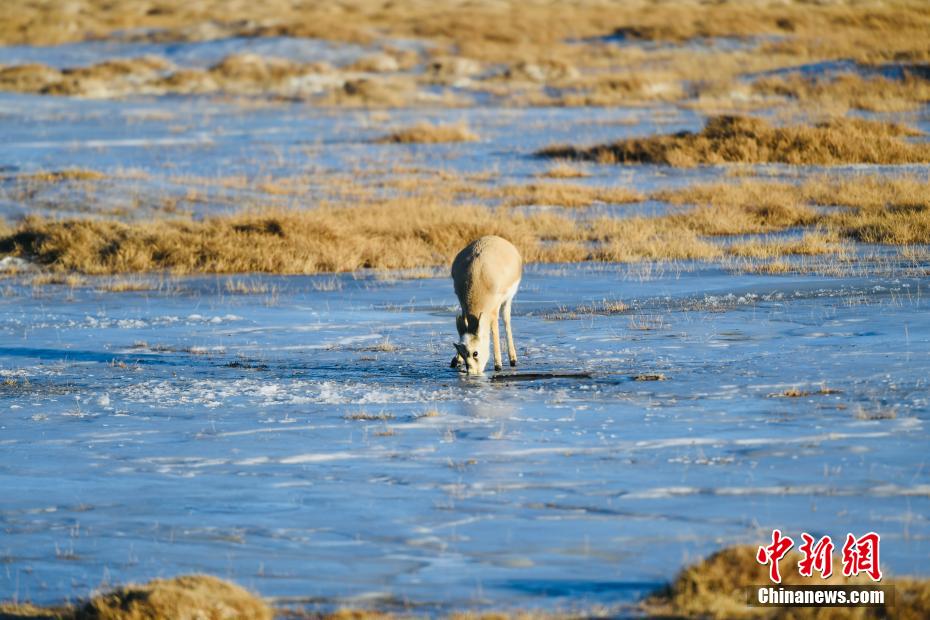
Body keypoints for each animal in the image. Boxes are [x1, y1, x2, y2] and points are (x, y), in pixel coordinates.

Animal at [448, 236, 520, 372]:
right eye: (462, 353)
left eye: (475, 353)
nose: (472, 372)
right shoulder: (463, 307)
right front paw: (456, 360)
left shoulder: (494, 309)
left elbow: (495, 330)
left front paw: (498, 365)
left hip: (508, 300)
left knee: (506, 320)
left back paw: (513, 359)